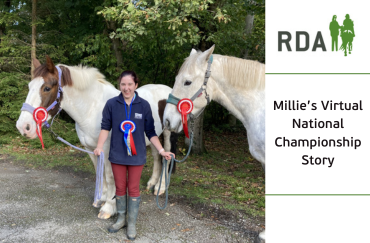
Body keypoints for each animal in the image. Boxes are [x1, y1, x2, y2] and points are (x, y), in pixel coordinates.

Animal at [15, 56, 174, 219]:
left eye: (46, 88)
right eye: (29, 86)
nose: (23, 127)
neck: (92, 110)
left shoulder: (108, 150)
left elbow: (110, 177)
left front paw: (109, 207)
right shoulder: (91, 149)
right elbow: (100, 173)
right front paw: (101, 198)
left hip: (167, 134)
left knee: (167, 156)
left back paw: (161, 187)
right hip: (152, 135)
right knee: (156, 156)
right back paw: (152, 183)